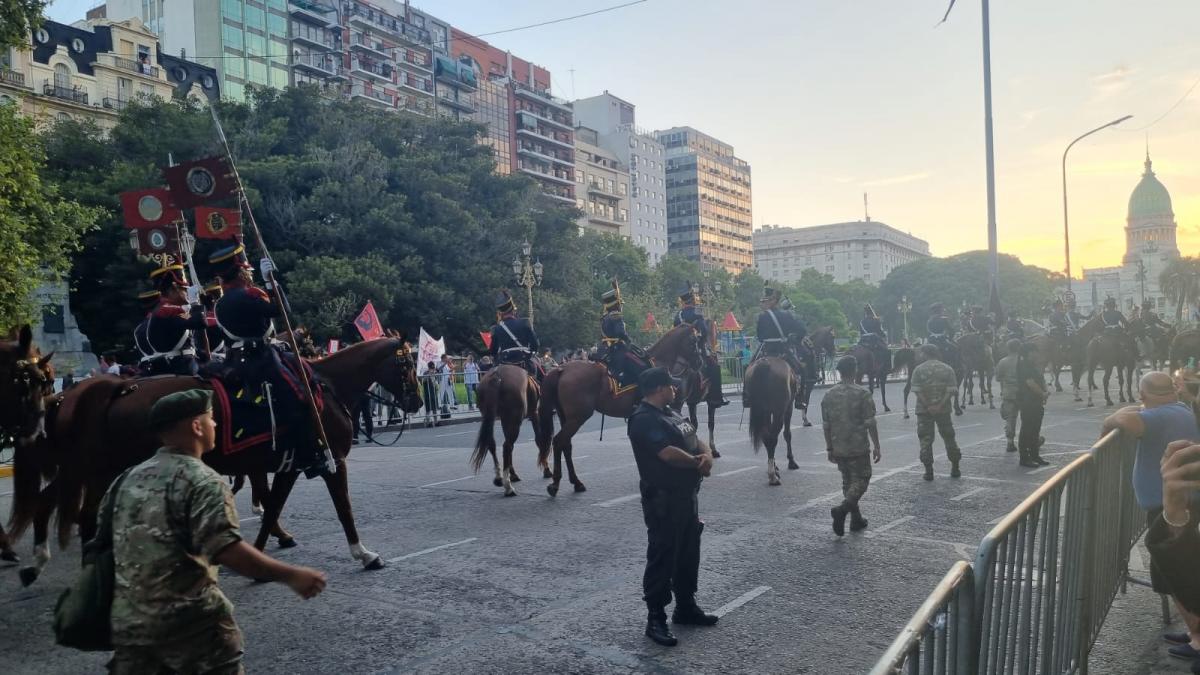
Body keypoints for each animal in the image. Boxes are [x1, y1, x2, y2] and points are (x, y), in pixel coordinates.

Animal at [8, 336, 422, 583]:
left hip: (98, 468)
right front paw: (365, 554)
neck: (325, 386)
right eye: (405, 365)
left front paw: (260, 556)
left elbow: (272, 506)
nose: (417, 401)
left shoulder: (290, 465)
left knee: (72, 510)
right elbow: (343, 508)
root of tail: (118, 387)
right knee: (82, 516)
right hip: (103, 469)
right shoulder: (331, 461)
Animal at [468, 362, 544, 494]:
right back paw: (508, 486)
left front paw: (512, 474)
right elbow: (539, 440)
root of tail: (496, 376)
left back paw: (499, 477)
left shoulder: (505, 419)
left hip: (491, 417)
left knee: (493, 444)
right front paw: (547, 470)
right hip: (515, 420)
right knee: (506, 446)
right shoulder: (534, 413)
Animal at [537, 324, 700, 497]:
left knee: (566, 445)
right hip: (577, 418)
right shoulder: (671, 408)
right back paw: (555, 484)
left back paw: (576, 482)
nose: (700, 362)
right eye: (694, 341)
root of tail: (561, 369)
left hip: (566, 417)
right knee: (558, 441)